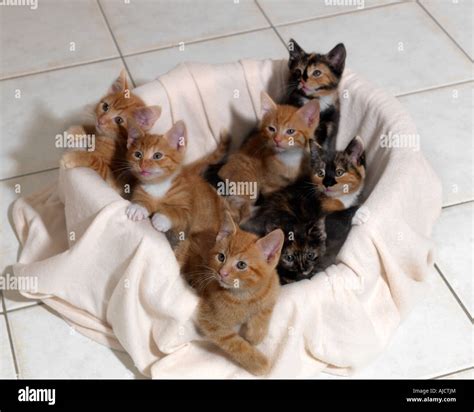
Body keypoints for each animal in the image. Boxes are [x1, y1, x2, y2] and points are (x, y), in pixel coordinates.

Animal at [182, 212, 284, 376]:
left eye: (241, 265)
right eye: (221, 257)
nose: (221, 272)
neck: (244, 296)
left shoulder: (273, 285)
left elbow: (266, 307)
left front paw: (255, 334)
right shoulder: (210, 320)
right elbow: (235, 343)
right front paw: (258, 362)